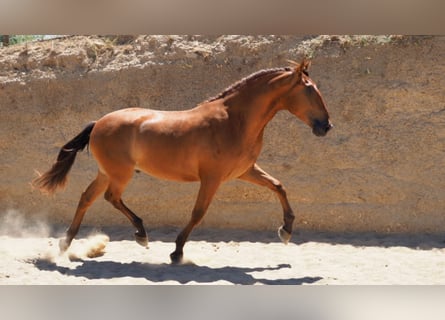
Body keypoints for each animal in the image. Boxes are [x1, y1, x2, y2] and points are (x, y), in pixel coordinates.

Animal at [33, 59, 332, 262]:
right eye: (310, 90)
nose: (326, 126)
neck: (235, 121)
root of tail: (98, 123)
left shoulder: (244, 171)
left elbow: (279, 186)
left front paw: (286, 230)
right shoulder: (212, 178)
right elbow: (198, 213)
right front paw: (176, 251)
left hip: (107, 172)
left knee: (87, 198)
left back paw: (65, 244)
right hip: (120, 173)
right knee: (110, 198)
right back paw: (141, 234)